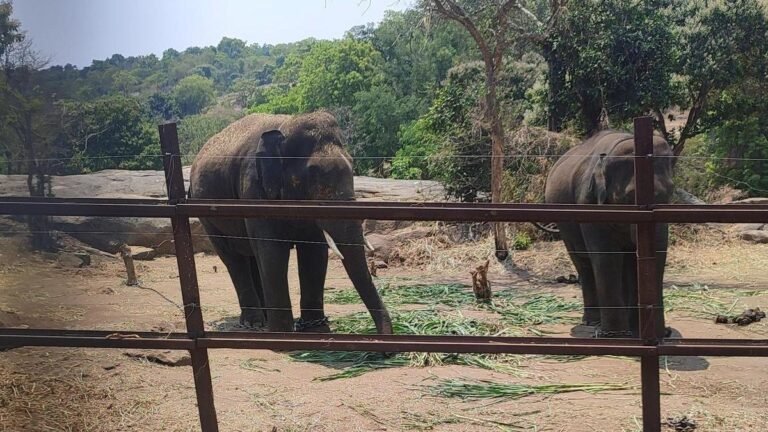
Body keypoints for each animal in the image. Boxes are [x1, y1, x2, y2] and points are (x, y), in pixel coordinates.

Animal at [188, 111, 393, 334]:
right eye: (313, 173)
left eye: (352, 163)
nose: (384, 343)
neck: (285, 127)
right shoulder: (254, 190)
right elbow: (272, 252)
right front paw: (283, 333)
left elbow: (313, 253)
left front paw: (315, 330)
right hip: (207, 216)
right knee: (234, 258)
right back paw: (254, 323)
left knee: (252, 257)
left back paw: (264, 320)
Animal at [544, 130, 674, 338]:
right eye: (630, 197)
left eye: (671, 192)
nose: (666, 333)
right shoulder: (588, 204)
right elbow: (607, 257)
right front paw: (615, 335)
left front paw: (644, 332)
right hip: (564, 224)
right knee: (583, 262)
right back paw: (592, 322)